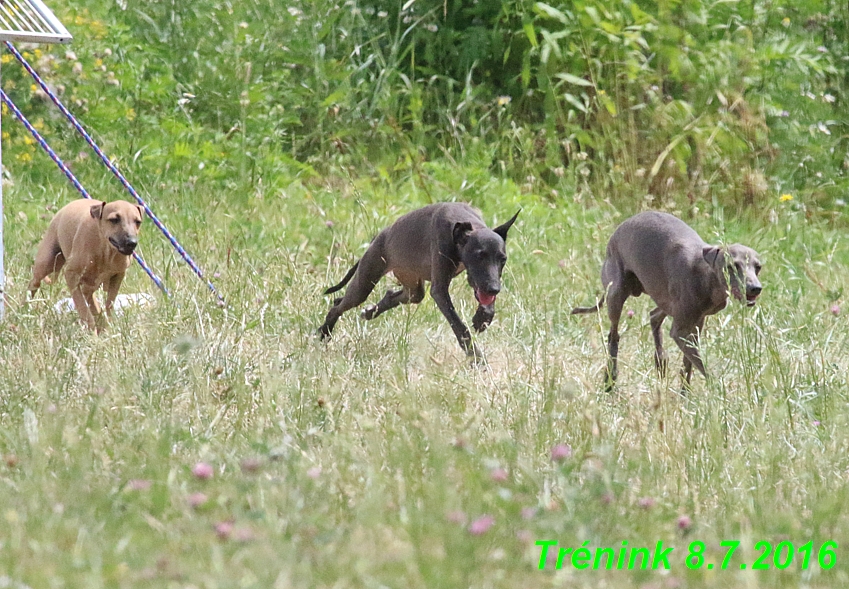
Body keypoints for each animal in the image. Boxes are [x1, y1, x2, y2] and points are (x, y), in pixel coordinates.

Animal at [30, 200, 144, 330]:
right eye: (114, 219)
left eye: (138, 222)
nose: (132, 243)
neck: (105, 252)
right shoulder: (71, 276)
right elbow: (83, 308)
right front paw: (91, 327)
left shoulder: (118, 275)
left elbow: (109, 304)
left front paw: (106, 326)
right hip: (46, 264)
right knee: (33, 284)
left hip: (90, 285)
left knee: (92, 300)